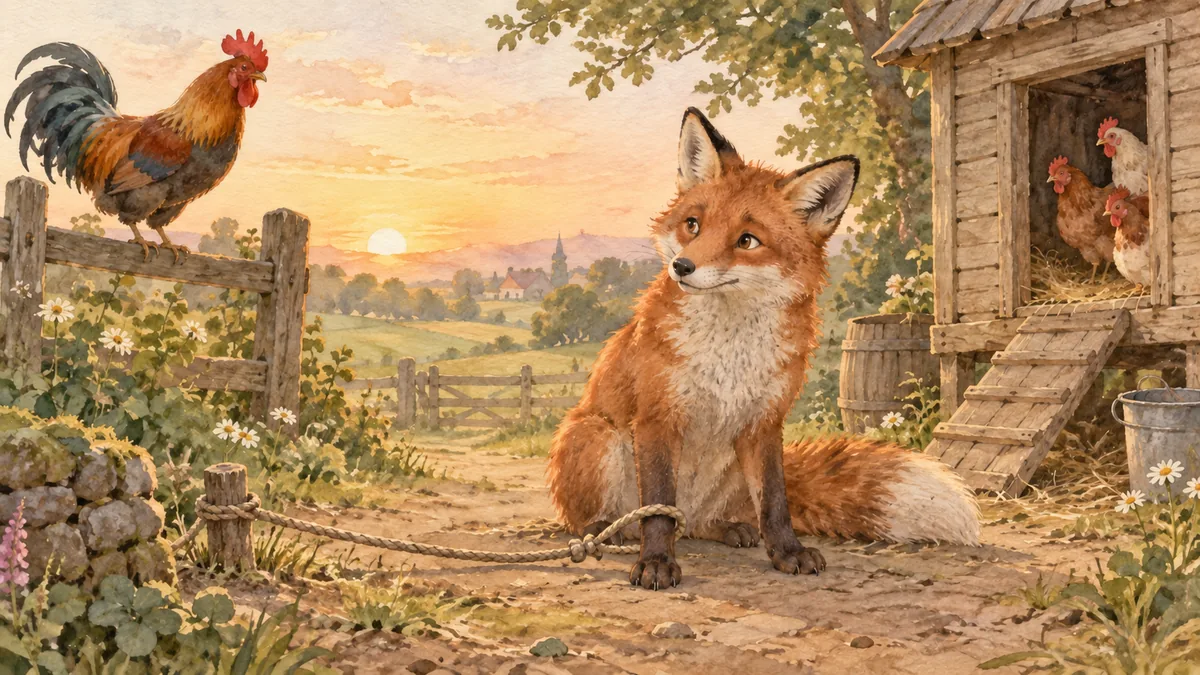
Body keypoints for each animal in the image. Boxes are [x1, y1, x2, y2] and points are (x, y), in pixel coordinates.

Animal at [547, 108, 980, 590]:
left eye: (747, 240)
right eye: (693, 225)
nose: (682, 266)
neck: (730, 351)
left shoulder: (765, 423)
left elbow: (775, 503)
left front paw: (787, 553)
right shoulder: (658, 418)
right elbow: (657, 508)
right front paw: (657, 562)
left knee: (700, 523)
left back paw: (727, 528)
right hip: (595, 435)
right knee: (610, 517)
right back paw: (604, 531)